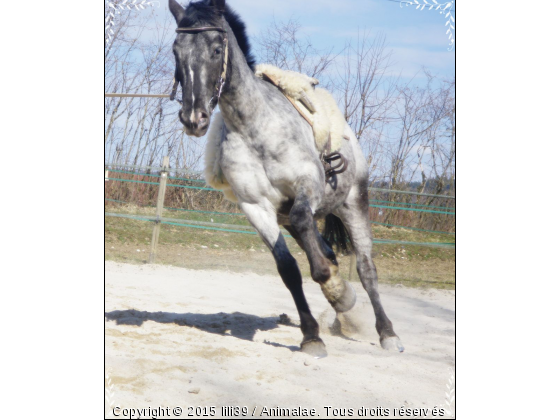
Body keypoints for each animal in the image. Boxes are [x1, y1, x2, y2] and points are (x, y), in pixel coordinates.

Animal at [166, 0, 402, 358]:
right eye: (176, 50)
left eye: (216, 49)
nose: (194, 119)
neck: (254, 128)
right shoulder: (257, 208)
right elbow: (288, 269)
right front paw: (312, 336)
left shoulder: (308, 187)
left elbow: (309, 232)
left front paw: (325, 280)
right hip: (287, 218)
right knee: (324, 248)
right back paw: (341, 298)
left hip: (353, 204)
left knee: (365, 268)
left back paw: (386, 332)